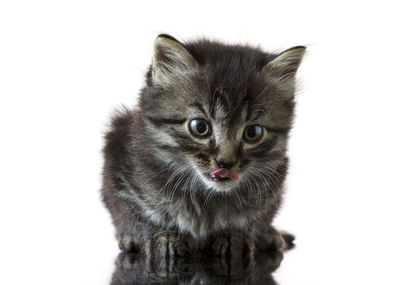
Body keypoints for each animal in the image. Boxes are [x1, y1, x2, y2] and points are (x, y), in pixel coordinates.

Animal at [101, 34, 304, 256]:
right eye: (200, 127)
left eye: (253, 133)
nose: (225, 163)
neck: (204, 197)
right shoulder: (118, 161)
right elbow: (132, 211)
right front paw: (160, 236)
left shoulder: (275, 180)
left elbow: (259, 216)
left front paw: (235, 235)